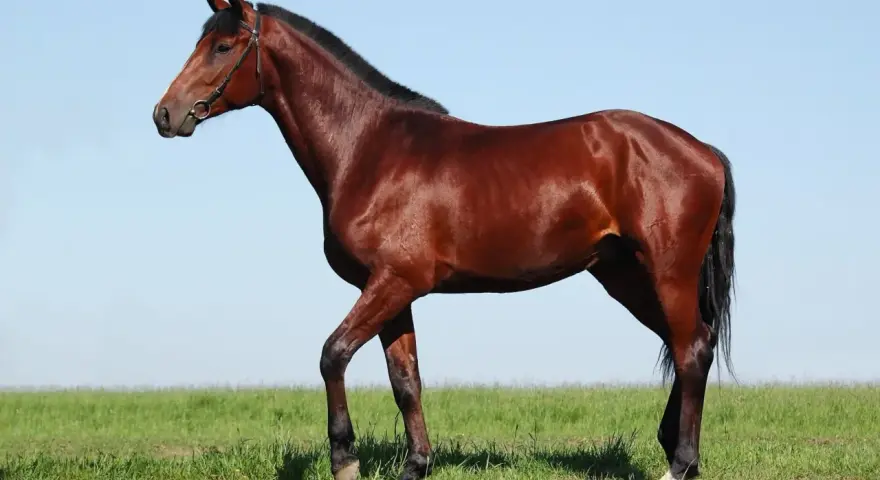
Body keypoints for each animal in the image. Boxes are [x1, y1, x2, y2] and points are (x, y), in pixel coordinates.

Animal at [152, 2, 737, 479]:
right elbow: (405, 379)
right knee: (690, 344)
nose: (164, 114)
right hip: (623, 275)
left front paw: (346, 460)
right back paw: (677, 451)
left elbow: (332, 355)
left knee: (690, 349)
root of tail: (702, 149)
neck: (369, 149)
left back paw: (679, 464)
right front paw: (416, 465)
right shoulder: (392, 291)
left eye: (223, 46)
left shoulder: (393, 282)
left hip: (667, 272)